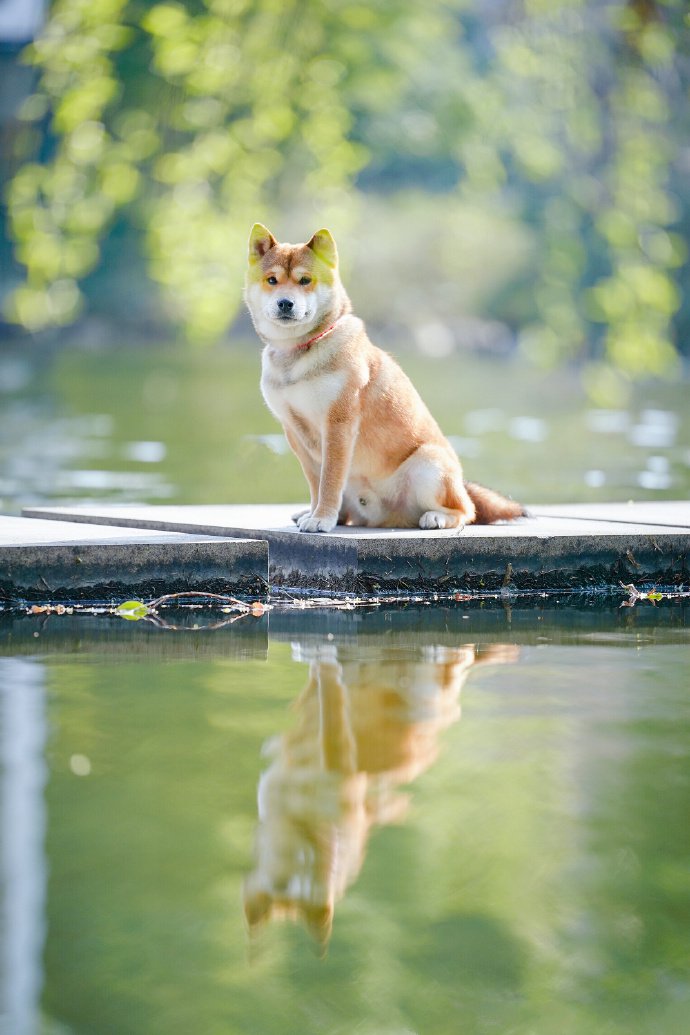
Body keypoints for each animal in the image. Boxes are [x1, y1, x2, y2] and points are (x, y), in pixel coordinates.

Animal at [245, 226, 521, 534]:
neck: (298, 352)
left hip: (428, 464)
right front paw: (316, 513)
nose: (285, 303)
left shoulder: (338, 425)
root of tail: (387, 517)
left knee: (466, 510)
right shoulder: (294, 430)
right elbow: (316, 483)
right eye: (272, 280)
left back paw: (437, 517)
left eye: (305, 280)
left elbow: (329, 481)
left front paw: (321, 518)